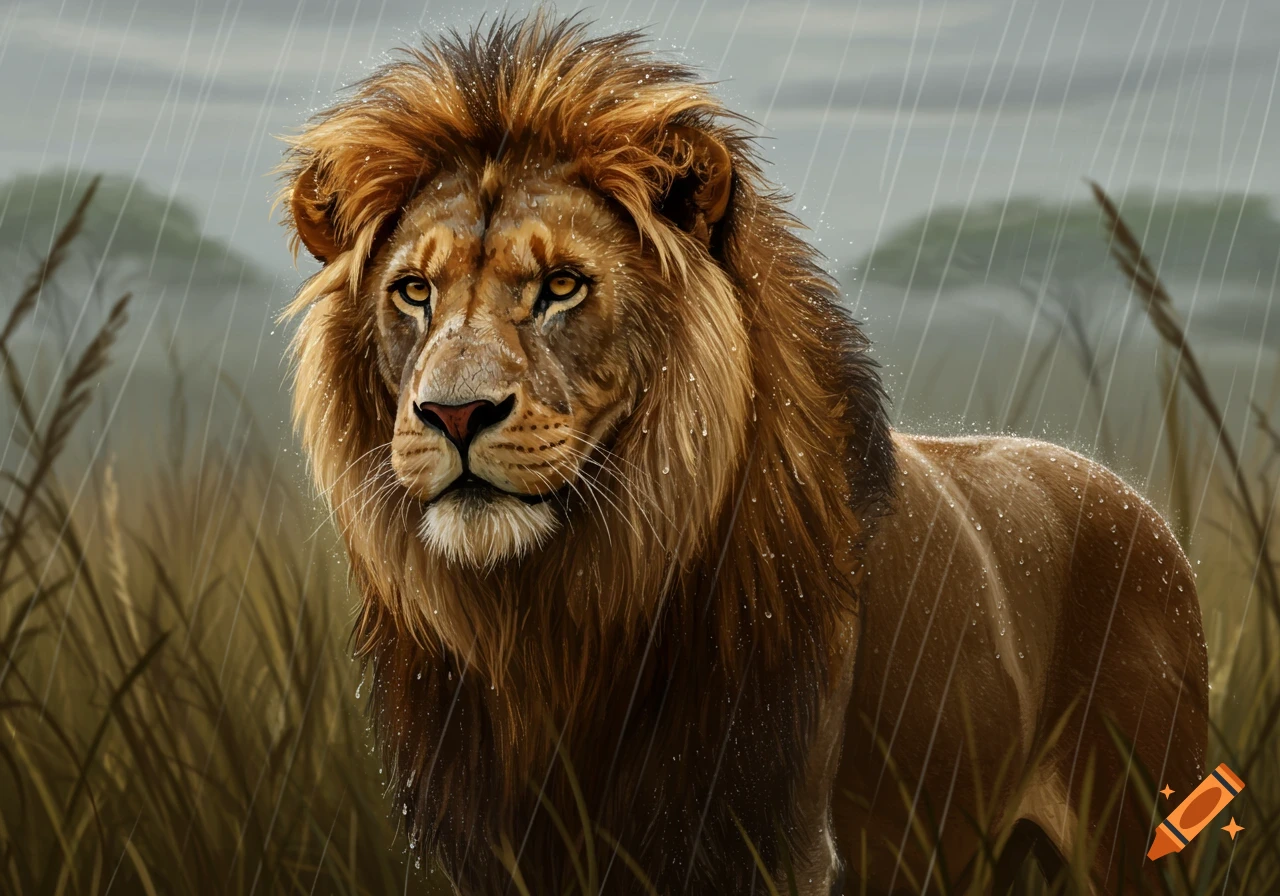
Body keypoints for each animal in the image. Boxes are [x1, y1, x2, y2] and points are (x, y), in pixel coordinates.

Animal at [279, 13, 1208, 895]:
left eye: (562, 286)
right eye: (413, 291)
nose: (455, 412)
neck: (555, 623)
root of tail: (1141, 507)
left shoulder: (778, 842)